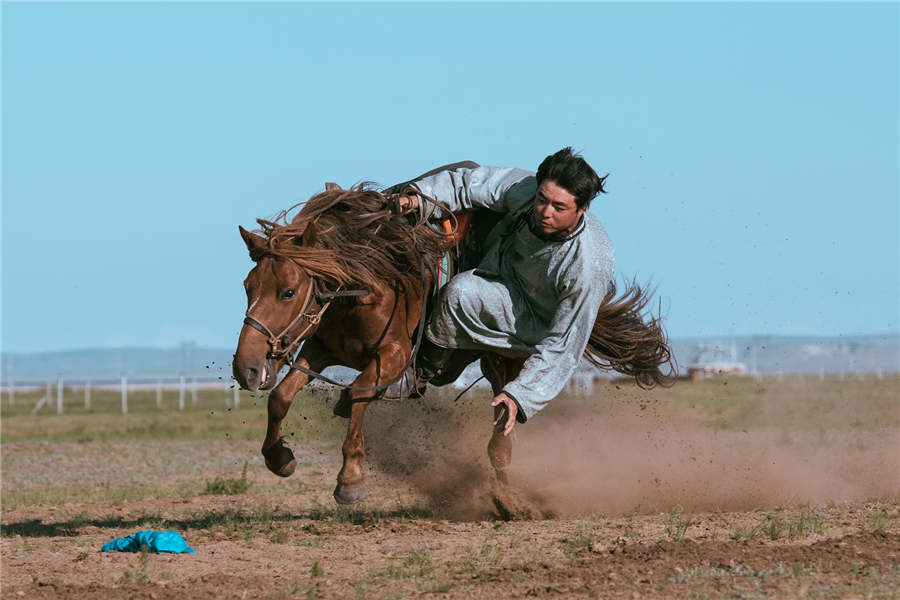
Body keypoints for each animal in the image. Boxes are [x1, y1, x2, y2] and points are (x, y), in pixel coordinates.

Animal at [232, 185, 676, 504]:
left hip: (501, 362)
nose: (245, 368)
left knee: (503, 433)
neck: (368, 284)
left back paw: (507, 498)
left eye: (289, 292)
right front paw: (280, 459)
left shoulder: (392, 356)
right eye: (248, 286)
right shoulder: (319, 350)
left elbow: (360, 391)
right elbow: (282, 397)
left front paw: (351, 480)